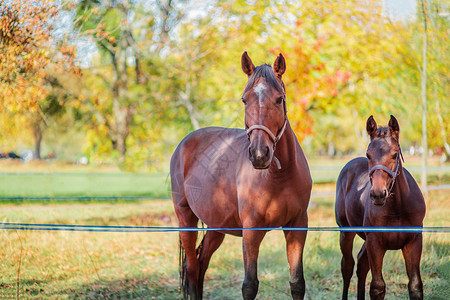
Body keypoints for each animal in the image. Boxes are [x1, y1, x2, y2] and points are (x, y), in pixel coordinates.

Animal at [171, 51, 312, 298]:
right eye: (245, 99)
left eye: (279, 99)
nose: (259, 154)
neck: (279, 176)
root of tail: (183, 145)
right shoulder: (251, 231)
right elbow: (250, 285)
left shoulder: (297, 227)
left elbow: (297, 283)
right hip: (186, 219)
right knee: (192, 268)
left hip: (216, 226)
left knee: (201, 265)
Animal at [336, 115, 428, 300]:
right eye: (368, 154)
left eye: (394, 154)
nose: (378, 194)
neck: (398, 208)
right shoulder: (375, 243)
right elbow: (377, 287)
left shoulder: (414, 241)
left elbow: (415, 285)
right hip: (346, 232)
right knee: (348, 266)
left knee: (362, 264)